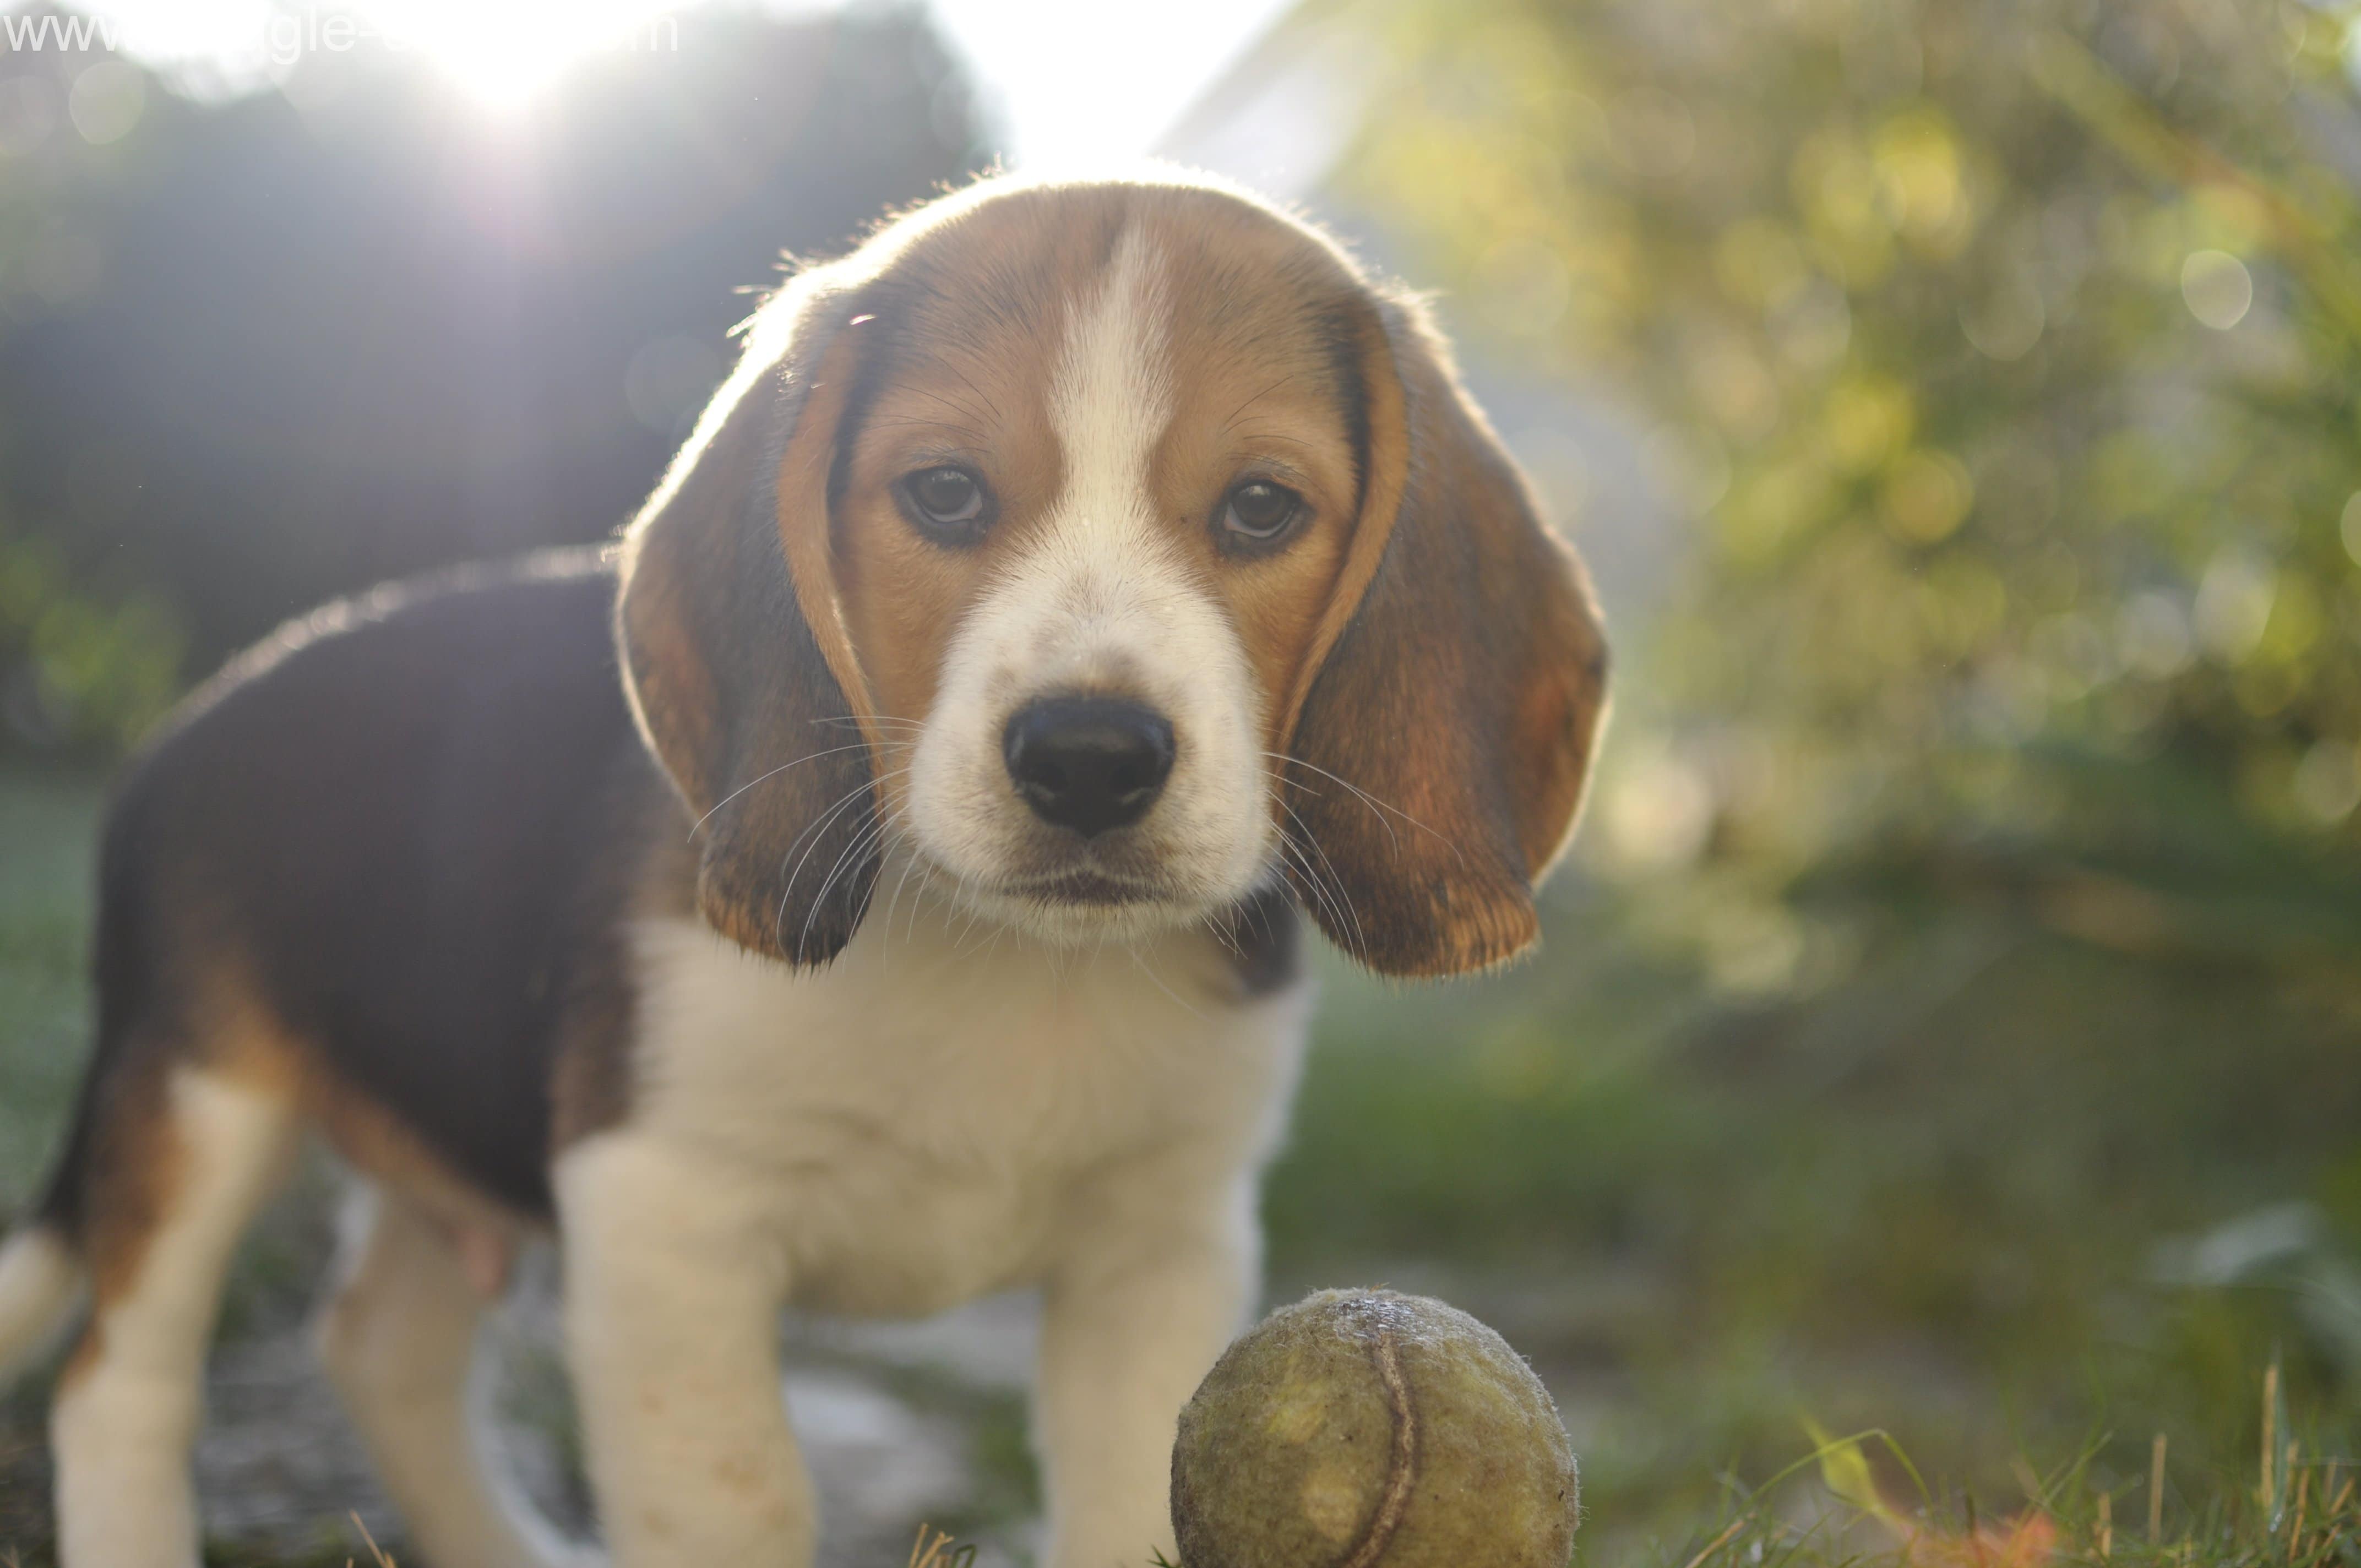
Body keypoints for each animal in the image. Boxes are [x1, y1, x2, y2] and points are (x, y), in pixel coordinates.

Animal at [0, 171, 1605, 1567]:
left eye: (1264, 507)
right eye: (945, 493)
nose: (1089, 757)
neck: (1011, 959)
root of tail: (188, 719)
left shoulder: (1163, 1250)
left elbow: (1124, 1502)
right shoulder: (660, 1207)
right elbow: (739, 1502)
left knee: (382, 1341)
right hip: (196, 1094)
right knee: (118, 1380)